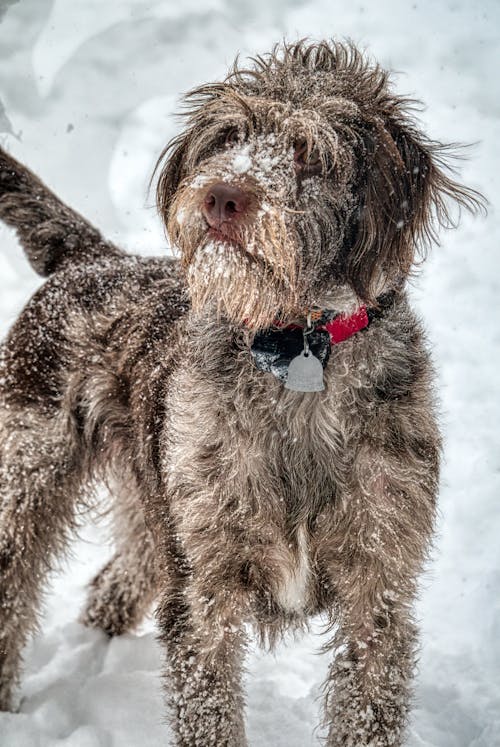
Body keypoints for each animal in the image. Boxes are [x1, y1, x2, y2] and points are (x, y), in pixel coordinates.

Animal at [0, 42, 484, 747]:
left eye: (309, 151)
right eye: (228, 138)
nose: (222, 197)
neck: (297, 345)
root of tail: (94, 260)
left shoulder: (378, 589)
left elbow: (367, 702)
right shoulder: (206, 586)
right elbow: (210, 707)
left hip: (153, 506)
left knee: (118, 576)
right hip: (30, 480)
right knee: (15, 586)